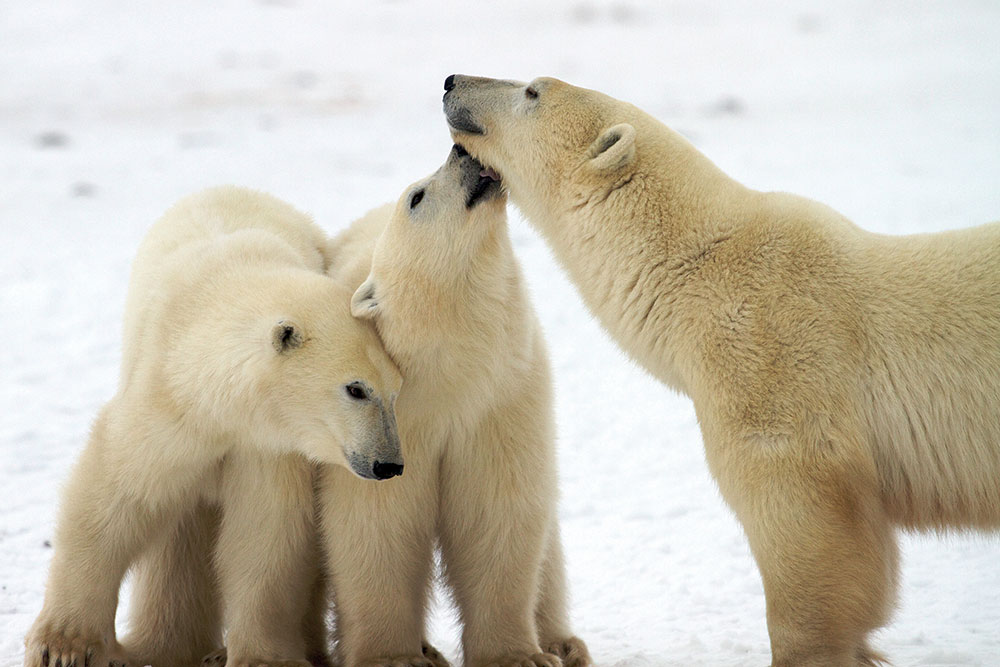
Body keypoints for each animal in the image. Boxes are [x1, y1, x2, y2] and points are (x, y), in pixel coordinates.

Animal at [20, 187, 402, 667]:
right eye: (356, 389)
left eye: (395, 390)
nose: (389, 464)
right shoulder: (170, 405)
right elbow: (113, 496)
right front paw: (63, 646)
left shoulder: (268, 448)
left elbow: (264, 535)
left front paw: (266, 657)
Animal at [320, 146, 588, 667]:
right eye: (417, 197)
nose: (460, 150)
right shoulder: (390, 422)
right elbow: (377, 521)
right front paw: (392, 656)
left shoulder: (501, 398)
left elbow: (496, 510)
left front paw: (521, 656)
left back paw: (564, 644)